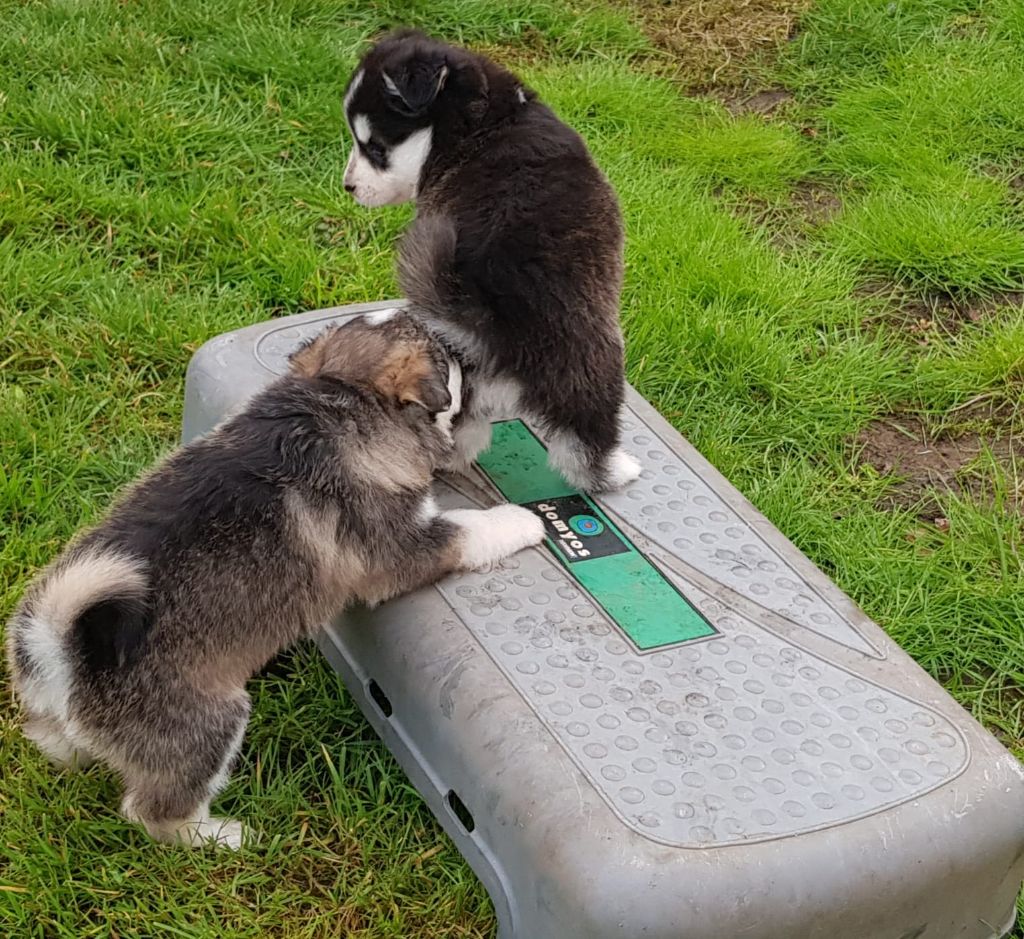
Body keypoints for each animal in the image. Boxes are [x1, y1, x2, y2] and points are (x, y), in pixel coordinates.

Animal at [5, 311, 544, 848]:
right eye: (448, 359)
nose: (470, 354)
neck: (342, 396)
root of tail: (64, 654)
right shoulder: (403, 547)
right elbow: (471, 530)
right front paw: (524, 520)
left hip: (61, 716)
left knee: (63, 749)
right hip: (207, 728)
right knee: (155, 813)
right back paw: (224, 836)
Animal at [342, 29, 641, 493]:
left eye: (374, 147)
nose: (348, 187)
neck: (485, 120)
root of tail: (485, 321)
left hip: (456, 389)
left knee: (457, 436)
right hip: (598, 362)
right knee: (586, 446)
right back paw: (619, 470)